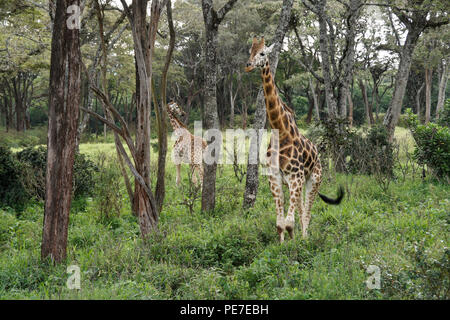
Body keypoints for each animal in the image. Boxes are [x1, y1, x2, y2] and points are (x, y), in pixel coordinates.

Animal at [244, 37, 342, 241]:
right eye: (250, 51)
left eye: (262, 53)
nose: (248, 66)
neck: (280, 131)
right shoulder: (275, 178)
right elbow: (280, 224)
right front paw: (285, 244)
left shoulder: (296, 177)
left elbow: (289, 223)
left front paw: (297, 245)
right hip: (296, 183)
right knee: (301, 209)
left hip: (313, 179)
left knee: (307, 213)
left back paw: (305, 238)